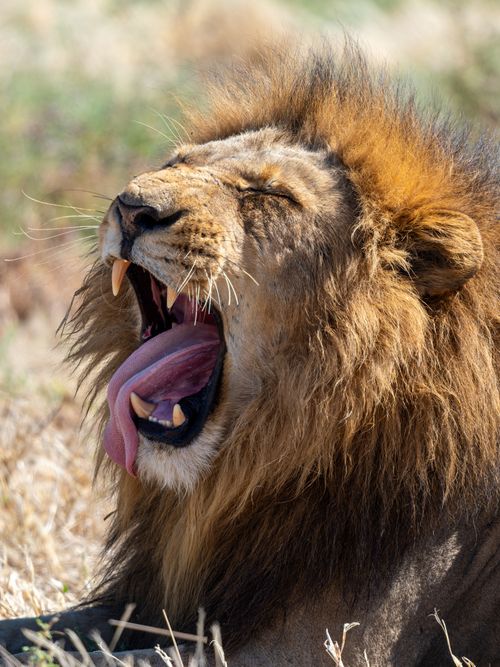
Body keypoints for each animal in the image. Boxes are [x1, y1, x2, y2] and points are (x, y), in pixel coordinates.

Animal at [1, 43, 499, 666]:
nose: (132, 207)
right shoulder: (147, 608)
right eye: (175, 161)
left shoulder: (324, 644)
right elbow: (34, 632)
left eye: (266, 195)